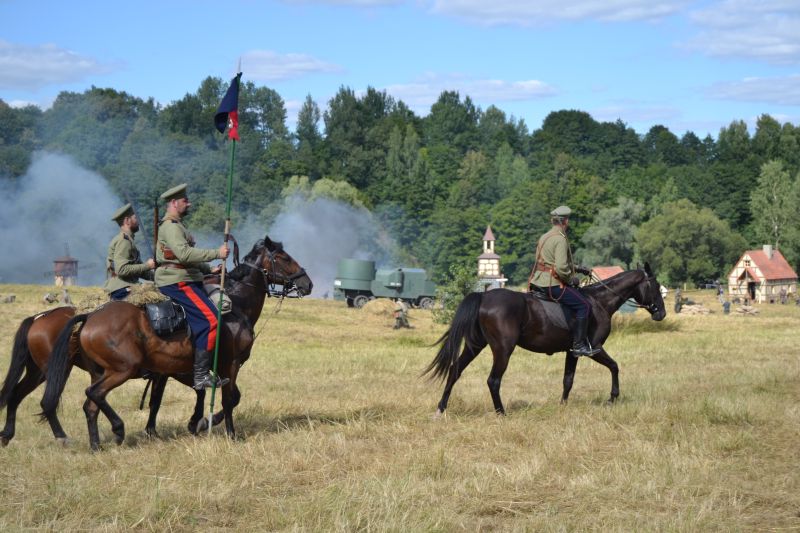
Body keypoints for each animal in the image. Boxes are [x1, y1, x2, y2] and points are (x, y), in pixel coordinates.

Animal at [39, 235, 312, 446]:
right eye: (284, 257)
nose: (307, 283)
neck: (236, 305)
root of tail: (89, 316)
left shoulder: (187, 369)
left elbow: (204, 394)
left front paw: (198, 422)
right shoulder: (229, 364)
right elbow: (229, 398)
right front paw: (226, 431)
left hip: (102, 371)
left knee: (91, 405)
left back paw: (96, 444)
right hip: (122, 369)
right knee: (94, 394)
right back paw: (117, 429)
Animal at [424, 262, 668, 416]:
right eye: (656, 286)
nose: (661, 314)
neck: (599, 301)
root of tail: (484, 295)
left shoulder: (572, 351)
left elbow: (568, 380)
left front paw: (562, 406)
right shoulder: (594, 348)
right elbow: (614, 366)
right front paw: (612, 398)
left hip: (475, 345)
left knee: (455, 370)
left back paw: (440, 408)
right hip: (502, 349)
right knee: (493, 380)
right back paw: (501, 413)